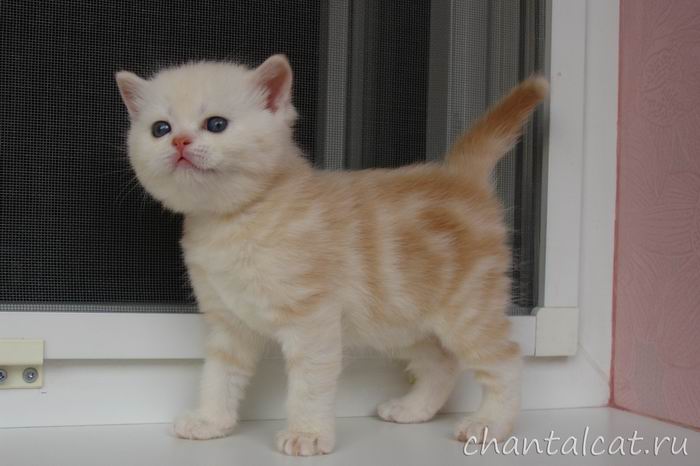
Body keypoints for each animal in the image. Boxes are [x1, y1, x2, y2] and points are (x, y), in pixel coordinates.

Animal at [115, 55, 546, 456]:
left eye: (216, 124)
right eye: (160, 129)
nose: (180, 142)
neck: (233, 222)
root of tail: (460, 177)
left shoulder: (313, 320)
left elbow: (308, 384)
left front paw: (307, 434)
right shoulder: (228, 323)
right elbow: (218, 376)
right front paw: (210, 421)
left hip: (467, 309)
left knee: (505, 358)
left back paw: (489, 423)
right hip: (398, 319)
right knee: (441, 363)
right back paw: (413, 409)